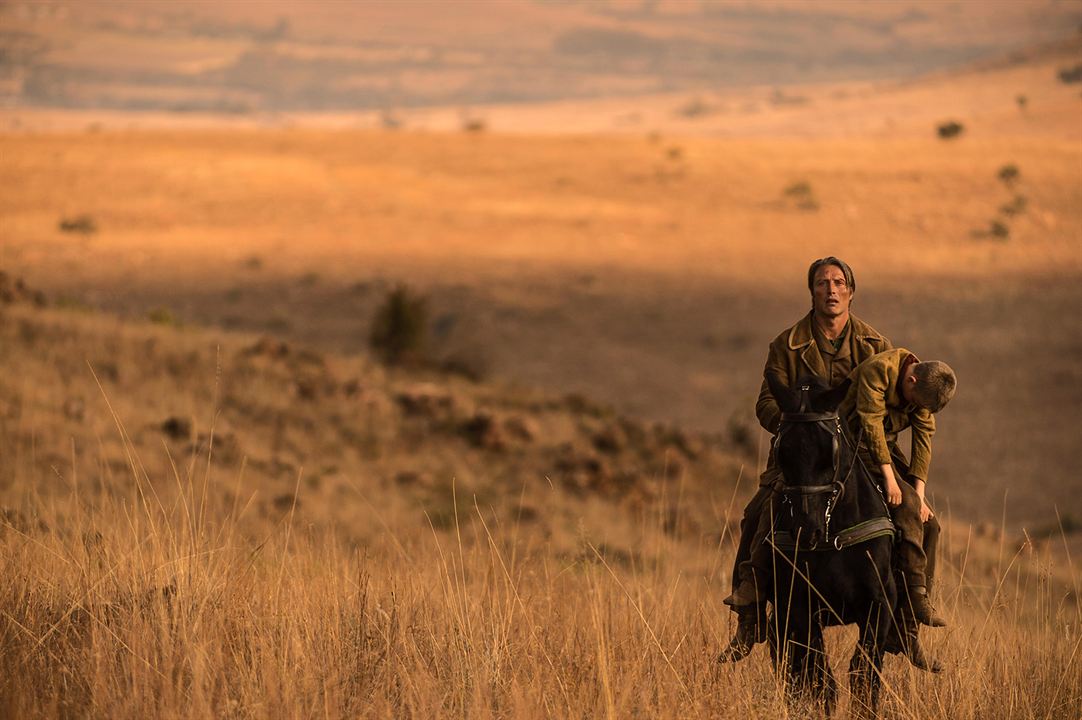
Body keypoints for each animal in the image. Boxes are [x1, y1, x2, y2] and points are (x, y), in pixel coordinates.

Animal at [761, 372, 895, 714]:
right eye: (782, 450)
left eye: (829, 452)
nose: (805, 531)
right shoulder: (800, 609)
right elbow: (820, 678)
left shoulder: (879, 607)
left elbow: (864, 670)